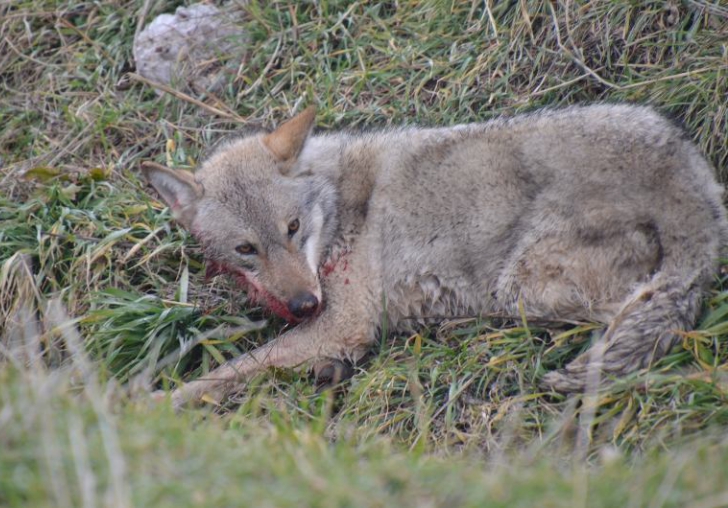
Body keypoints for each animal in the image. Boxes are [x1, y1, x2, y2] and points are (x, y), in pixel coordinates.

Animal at [144, 104, 728, 408]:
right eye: (246, 250)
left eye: (293, 229)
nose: (305, 304)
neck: (339, 202)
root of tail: (686, 173)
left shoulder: (341, 325)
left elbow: (225, 372)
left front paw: (145, 410)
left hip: (523, 289)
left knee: (644, 312)